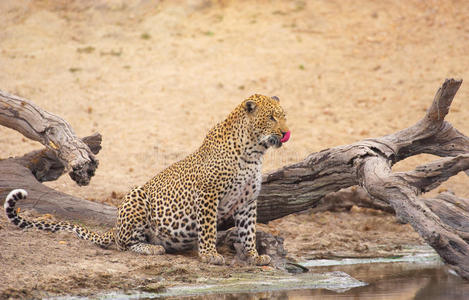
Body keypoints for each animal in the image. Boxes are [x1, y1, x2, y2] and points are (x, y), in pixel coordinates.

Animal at [3, 94, 288, 264]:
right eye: (271, 117)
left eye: (284, 115)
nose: (286, 131)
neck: (254, 152)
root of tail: (114, 227)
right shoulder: (209, 194)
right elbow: (207, 228)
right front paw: (210, 255)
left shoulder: (247, 201)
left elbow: (248, 231)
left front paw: (254, 256)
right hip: (136, 197)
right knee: (123, 243)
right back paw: (152, 248)